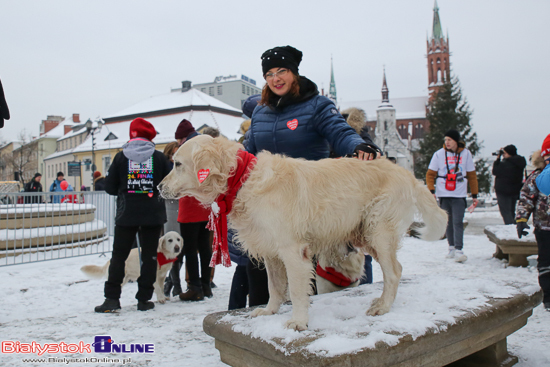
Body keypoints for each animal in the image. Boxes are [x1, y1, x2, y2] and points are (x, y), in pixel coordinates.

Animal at [158, 137, 448, 332]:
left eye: (177, 164)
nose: (159, 187)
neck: (242, 179)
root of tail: (406, 174)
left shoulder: (293, 251)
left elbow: (297, 291)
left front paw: (298, 322)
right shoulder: (271, 251)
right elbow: (275, 287)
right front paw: (269, 311)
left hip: (379, 231)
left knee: (395, 271)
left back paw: (383, 306)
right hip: (366, 235)